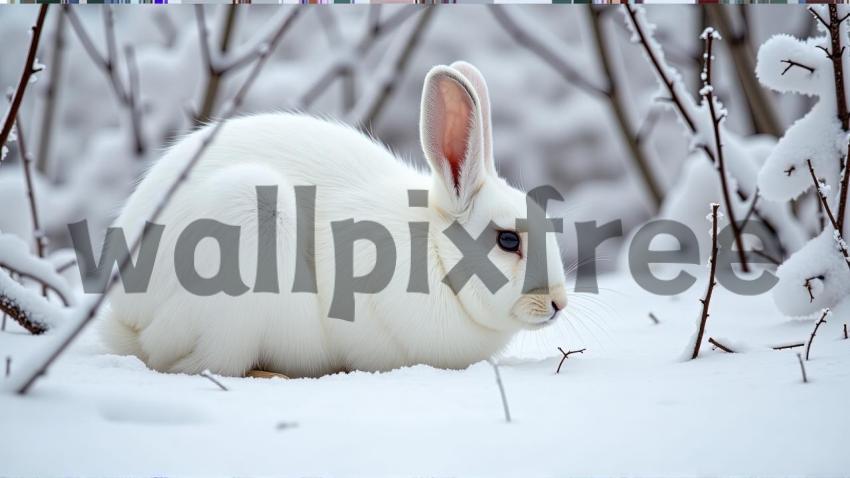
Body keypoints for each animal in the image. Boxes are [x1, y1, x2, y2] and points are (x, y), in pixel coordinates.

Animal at [101, 62, 568, 378]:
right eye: (508, 241)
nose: (558, 303)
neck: (437, 252)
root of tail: (126, 315)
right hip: (239, 255)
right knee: (193, 363)